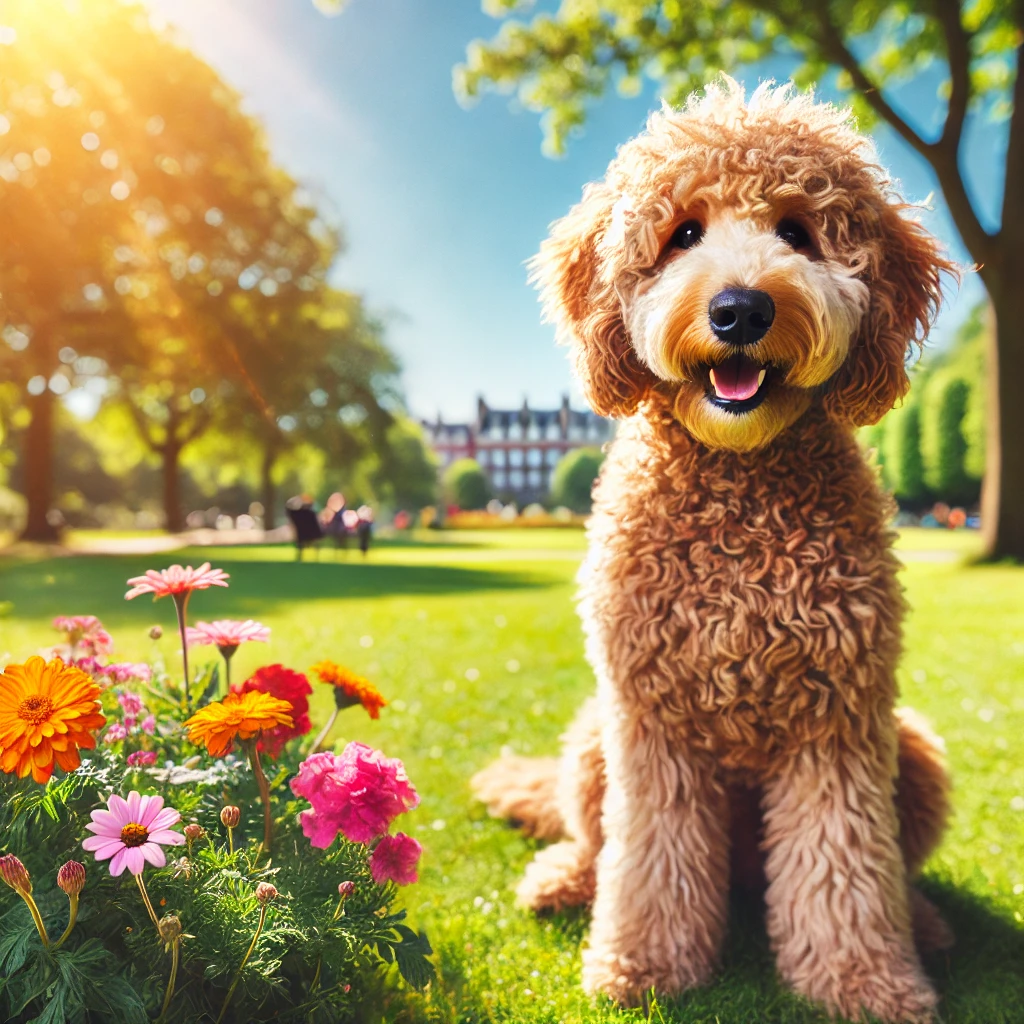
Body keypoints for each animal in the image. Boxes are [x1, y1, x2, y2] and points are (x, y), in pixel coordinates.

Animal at [475, 81, 954, 1024]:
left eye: (798, 231)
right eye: (683, 233)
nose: (741, 310)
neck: (739, 490)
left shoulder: (838, 717)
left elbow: (845, 867)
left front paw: (865, 982)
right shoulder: (652, 719)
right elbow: (649, 857)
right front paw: (643, 965)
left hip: (910, 747)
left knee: (890, 865)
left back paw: (923, 922)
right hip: (595, 736)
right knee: (594, 838)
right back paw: (564, 879)